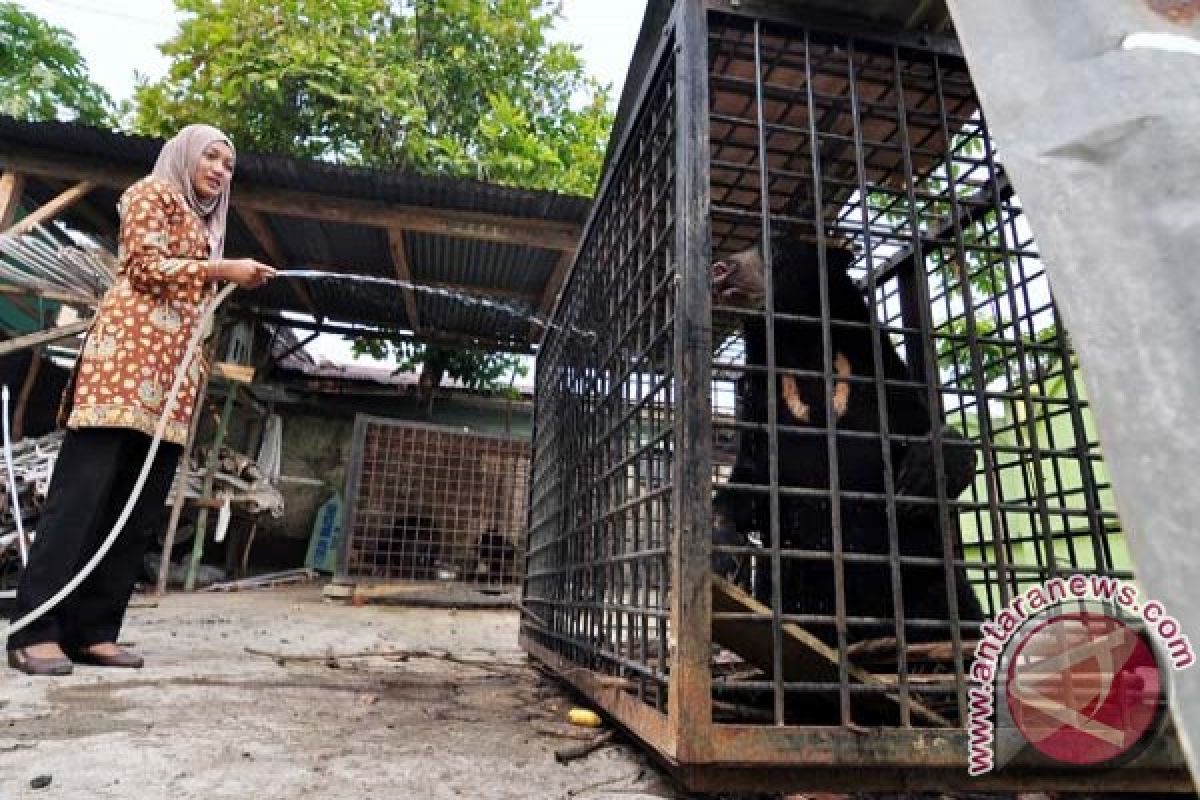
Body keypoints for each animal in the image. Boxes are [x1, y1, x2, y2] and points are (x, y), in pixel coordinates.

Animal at [710, 230, 984, 642]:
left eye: (775, 251)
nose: (720, 268)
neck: (798, 344)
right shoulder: (758, 416)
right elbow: (747, 488)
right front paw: (724, 553)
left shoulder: (886, 384)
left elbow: (929, 435)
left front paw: (917, 481)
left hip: (926, 578)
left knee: (958, 605)